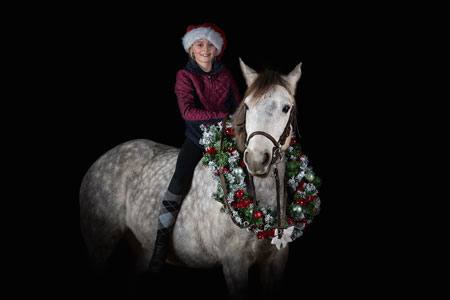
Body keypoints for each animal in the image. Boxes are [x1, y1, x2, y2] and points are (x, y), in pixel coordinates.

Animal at [80, 59, 302, 298]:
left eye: (286, 108)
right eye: (248, 106)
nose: (256, 160)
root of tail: (100, 161)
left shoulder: (275, 263)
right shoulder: (235, 264)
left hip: (140, 248)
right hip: (100, 248)